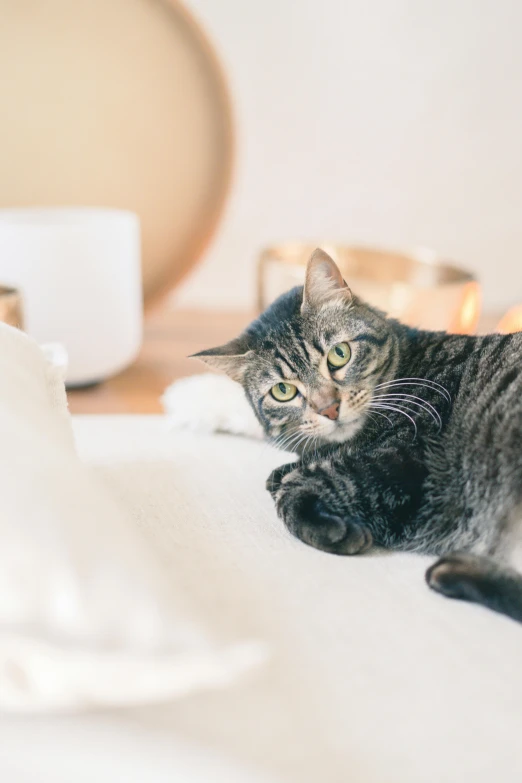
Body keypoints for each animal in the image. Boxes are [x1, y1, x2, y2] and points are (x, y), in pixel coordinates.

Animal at [193, 250, 520, 624]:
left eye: (339, 354)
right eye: (283, 391)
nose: (329, 408)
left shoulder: (407, 462)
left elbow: (301, 489)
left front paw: (325, 522)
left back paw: (450, 572)